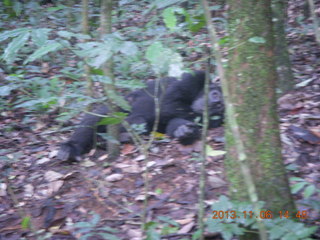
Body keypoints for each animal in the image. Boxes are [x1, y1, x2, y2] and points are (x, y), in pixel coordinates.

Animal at [57, 71, 222, 161]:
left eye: (219, 108)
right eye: (215, 95)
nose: (215, 103)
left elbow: (171, 122)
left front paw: (186, 131)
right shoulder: (194, 78)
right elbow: (168, 103)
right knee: (97, 117)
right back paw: (71, 147)